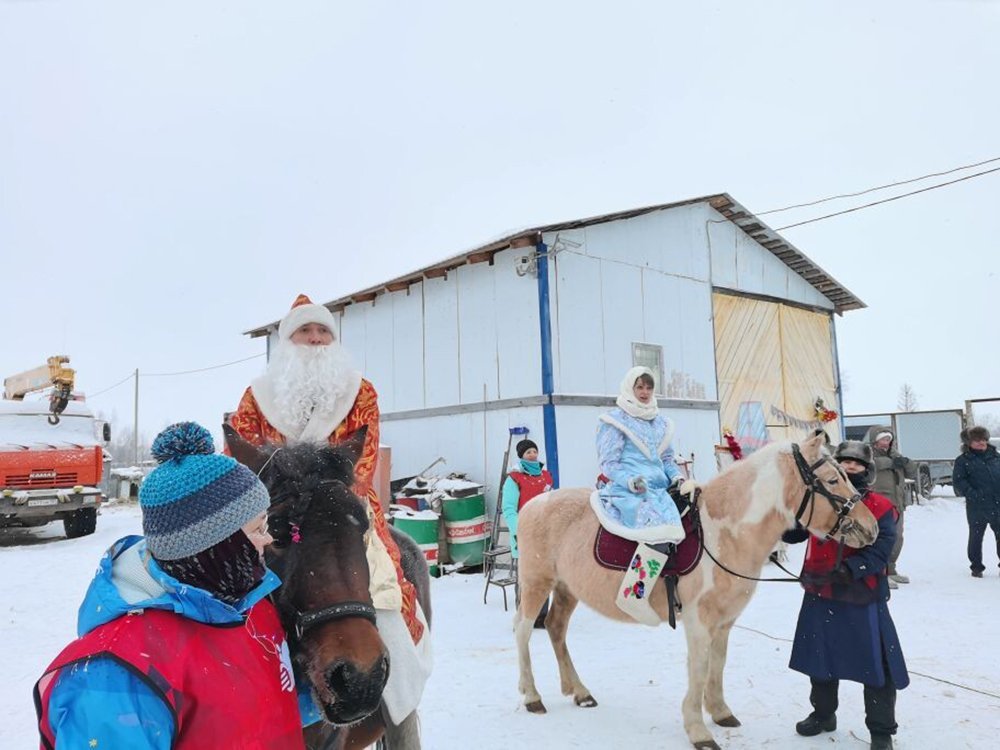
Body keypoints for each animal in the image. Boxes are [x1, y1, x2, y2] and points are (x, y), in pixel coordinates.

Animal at [512, 428, 880, 750]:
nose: (871, 528)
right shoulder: (698, 622)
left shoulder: (724, 622)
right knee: (523, 631)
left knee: (556, 628)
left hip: (565, 589)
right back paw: (532, 696)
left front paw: (720, 712)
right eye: (832, 480)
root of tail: (535, 503)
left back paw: (580, 692)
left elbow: (717, 665)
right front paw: (699, 731)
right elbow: (699, 669)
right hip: (536, 583)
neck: (722, 533)